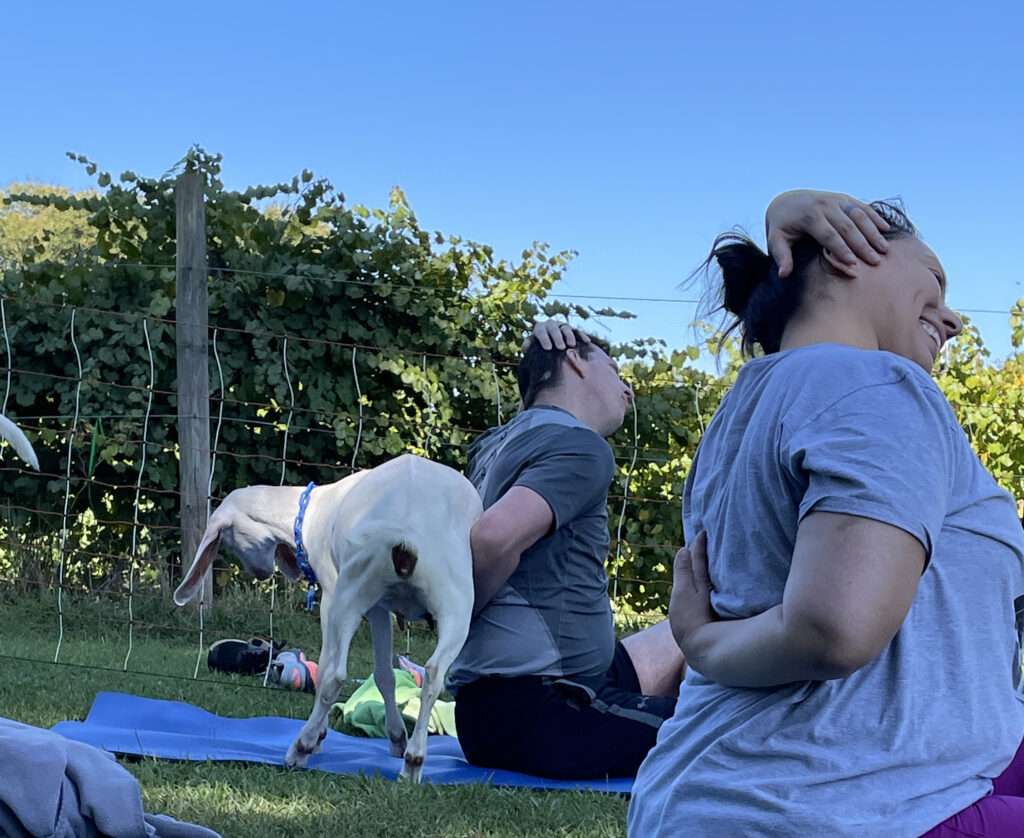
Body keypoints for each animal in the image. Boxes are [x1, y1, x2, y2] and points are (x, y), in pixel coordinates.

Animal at [173, 454, 483, 778]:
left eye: (229, 539)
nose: (259, 574)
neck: (311, 513)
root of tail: (407, 535)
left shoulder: (348, 597)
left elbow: (336, 671)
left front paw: (321, 736)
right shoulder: (381, 607)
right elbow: (385, 675)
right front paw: (398, 739)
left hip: (348, 593)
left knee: (334, 674)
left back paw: (301, 747)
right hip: (456, 602)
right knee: (434, 675)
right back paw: (414, 761)